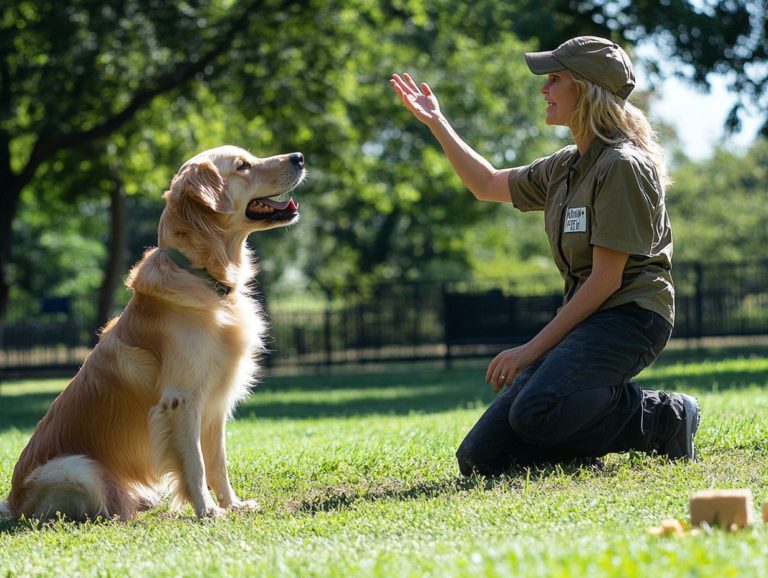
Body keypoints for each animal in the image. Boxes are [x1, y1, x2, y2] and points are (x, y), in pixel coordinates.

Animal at [0, 143, 306, 516]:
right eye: (243, 166)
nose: (299, 157)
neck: (201, 274)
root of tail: (13, 502)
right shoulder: (181, 400)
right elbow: (196, 463)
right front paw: (207, 511)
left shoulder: (216, 404)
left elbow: (218, 461)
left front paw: (232, 504)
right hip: (78, 467)